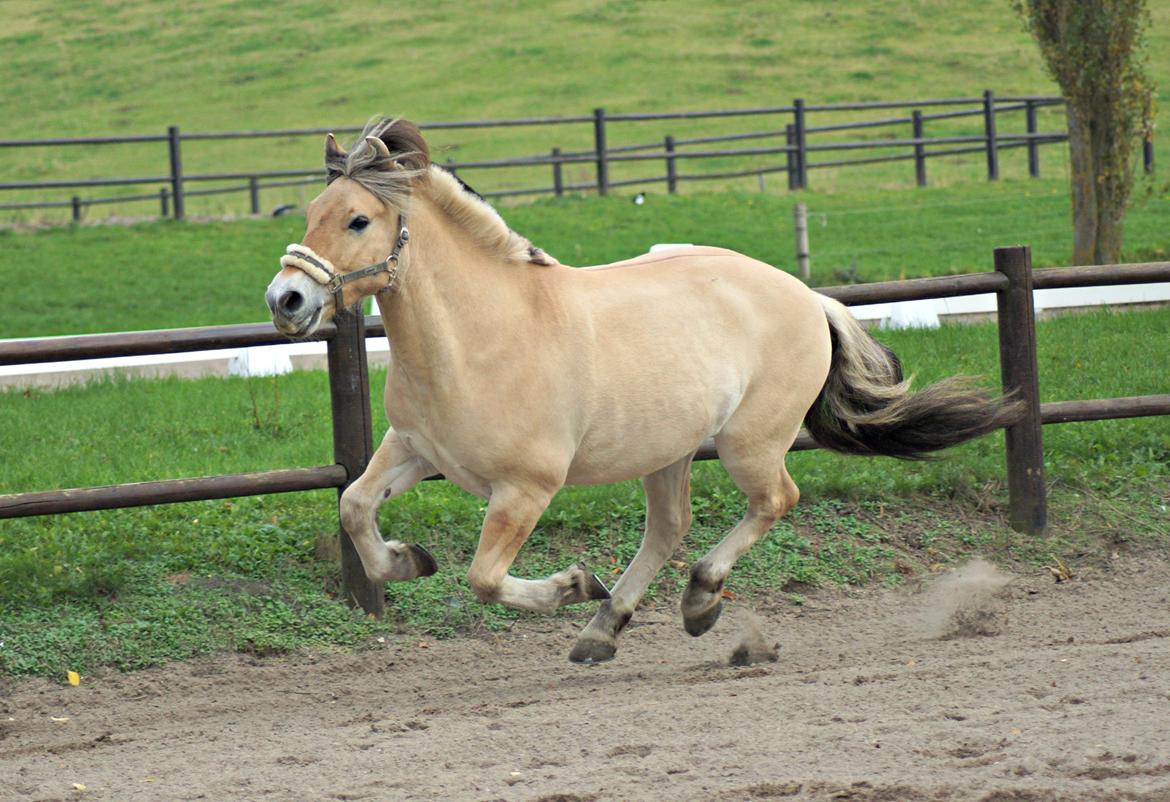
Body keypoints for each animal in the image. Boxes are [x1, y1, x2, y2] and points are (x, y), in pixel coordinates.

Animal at [265, 118, 1015, 665]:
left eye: (359, 220)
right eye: (312, 212)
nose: (287, 299)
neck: (480, 338)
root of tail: (808, 296)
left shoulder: (525, 489)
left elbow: (483, 579)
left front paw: (572, 583)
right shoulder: (415, 449)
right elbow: (355, 509)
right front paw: (407, 559)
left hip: (748, 443)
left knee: (774, 501)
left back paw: (698, 600)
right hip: (669, 450)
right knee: (669, 526)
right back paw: (607, 628)